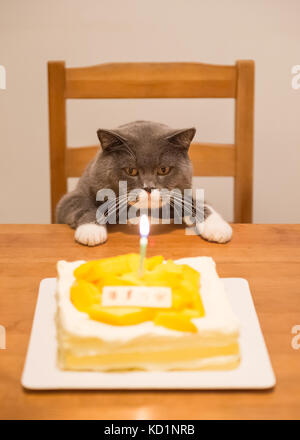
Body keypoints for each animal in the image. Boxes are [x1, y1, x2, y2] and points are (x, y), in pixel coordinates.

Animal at [57, 118, 233, 246]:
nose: (149, 187)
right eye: (131, 170)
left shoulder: (181, 193)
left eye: (163, 169)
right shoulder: (75, 195)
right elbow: (83, 205)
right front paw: (91, 230)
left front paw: (217, 227)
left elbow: (197, 202)